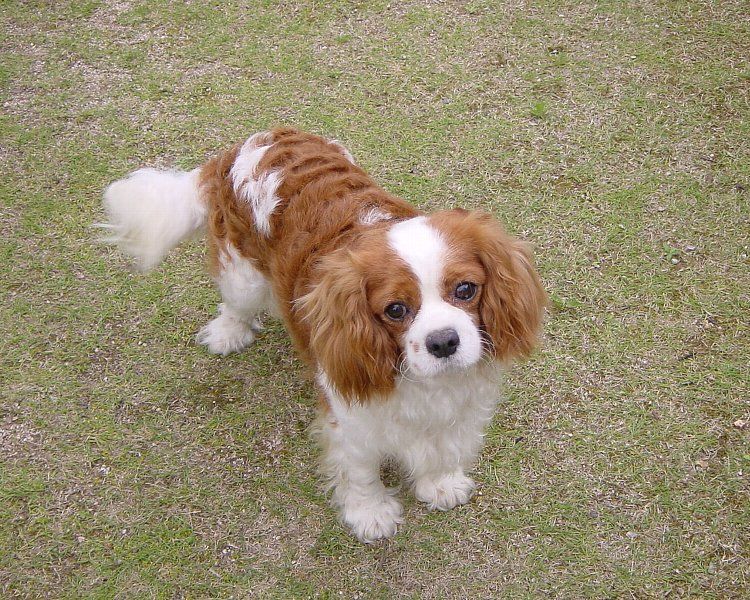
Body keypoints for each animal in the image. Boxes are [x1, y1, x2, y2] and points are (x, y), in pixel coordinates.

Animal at [100, 127, 548, 544]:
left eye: (466, 290)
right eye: (395, 310)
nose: (443, 342)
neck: (425, 385)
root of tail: (247, 144)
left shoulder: (459, 404)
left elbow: (443, 446)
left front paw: (439, 483)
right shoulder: (350, 420)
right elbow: (361, 471)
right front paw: (371, 514)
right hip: (242, 276)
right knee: (235, 303)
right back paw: (229, 333)